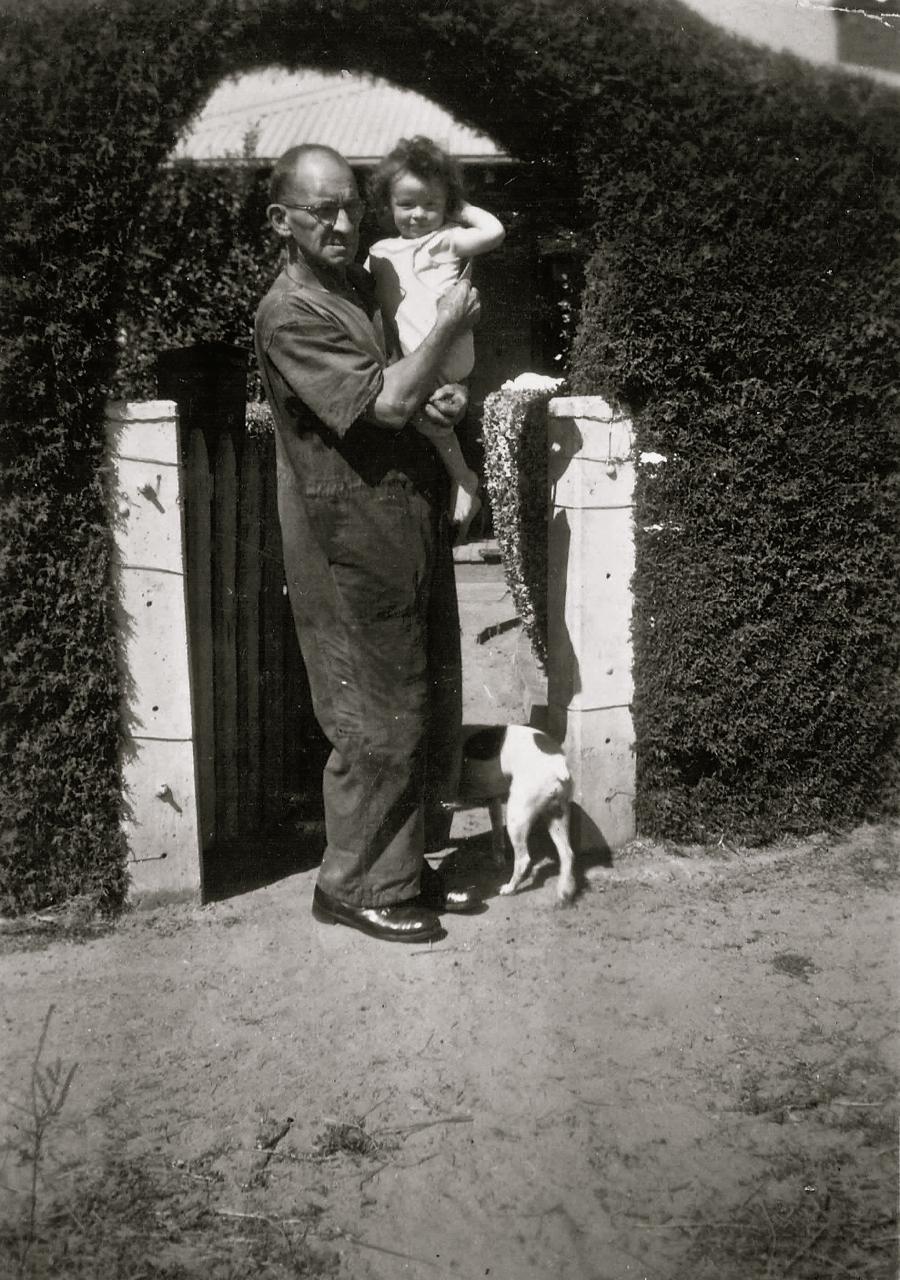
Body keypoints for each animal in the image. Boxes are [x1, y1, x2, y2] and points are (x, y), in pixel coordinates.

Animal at [458, 727, 578, 906]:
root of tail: (558, 766)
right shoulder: (493, 800)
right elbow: (497, 833)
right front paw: (498, 859)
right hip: (557, 817)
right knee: (567, 854)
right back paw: (564, 892)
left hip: (516, 818)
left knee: (523, 859)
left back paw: (509, 888)